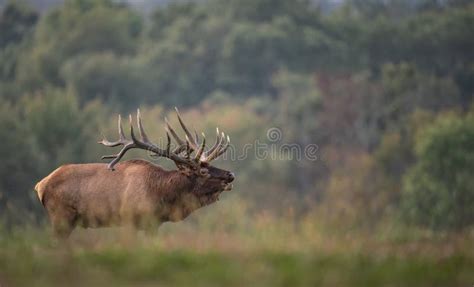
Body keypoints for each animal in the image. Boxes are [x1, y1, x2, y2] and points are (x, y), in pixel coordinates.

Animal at [34, 108, 234, 238]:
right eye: (203, 171)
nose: (230, 175)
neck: (161, 195)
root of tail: (40, 185)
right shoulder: (129, 218)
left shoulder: (153, 224)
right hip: (61, 216)